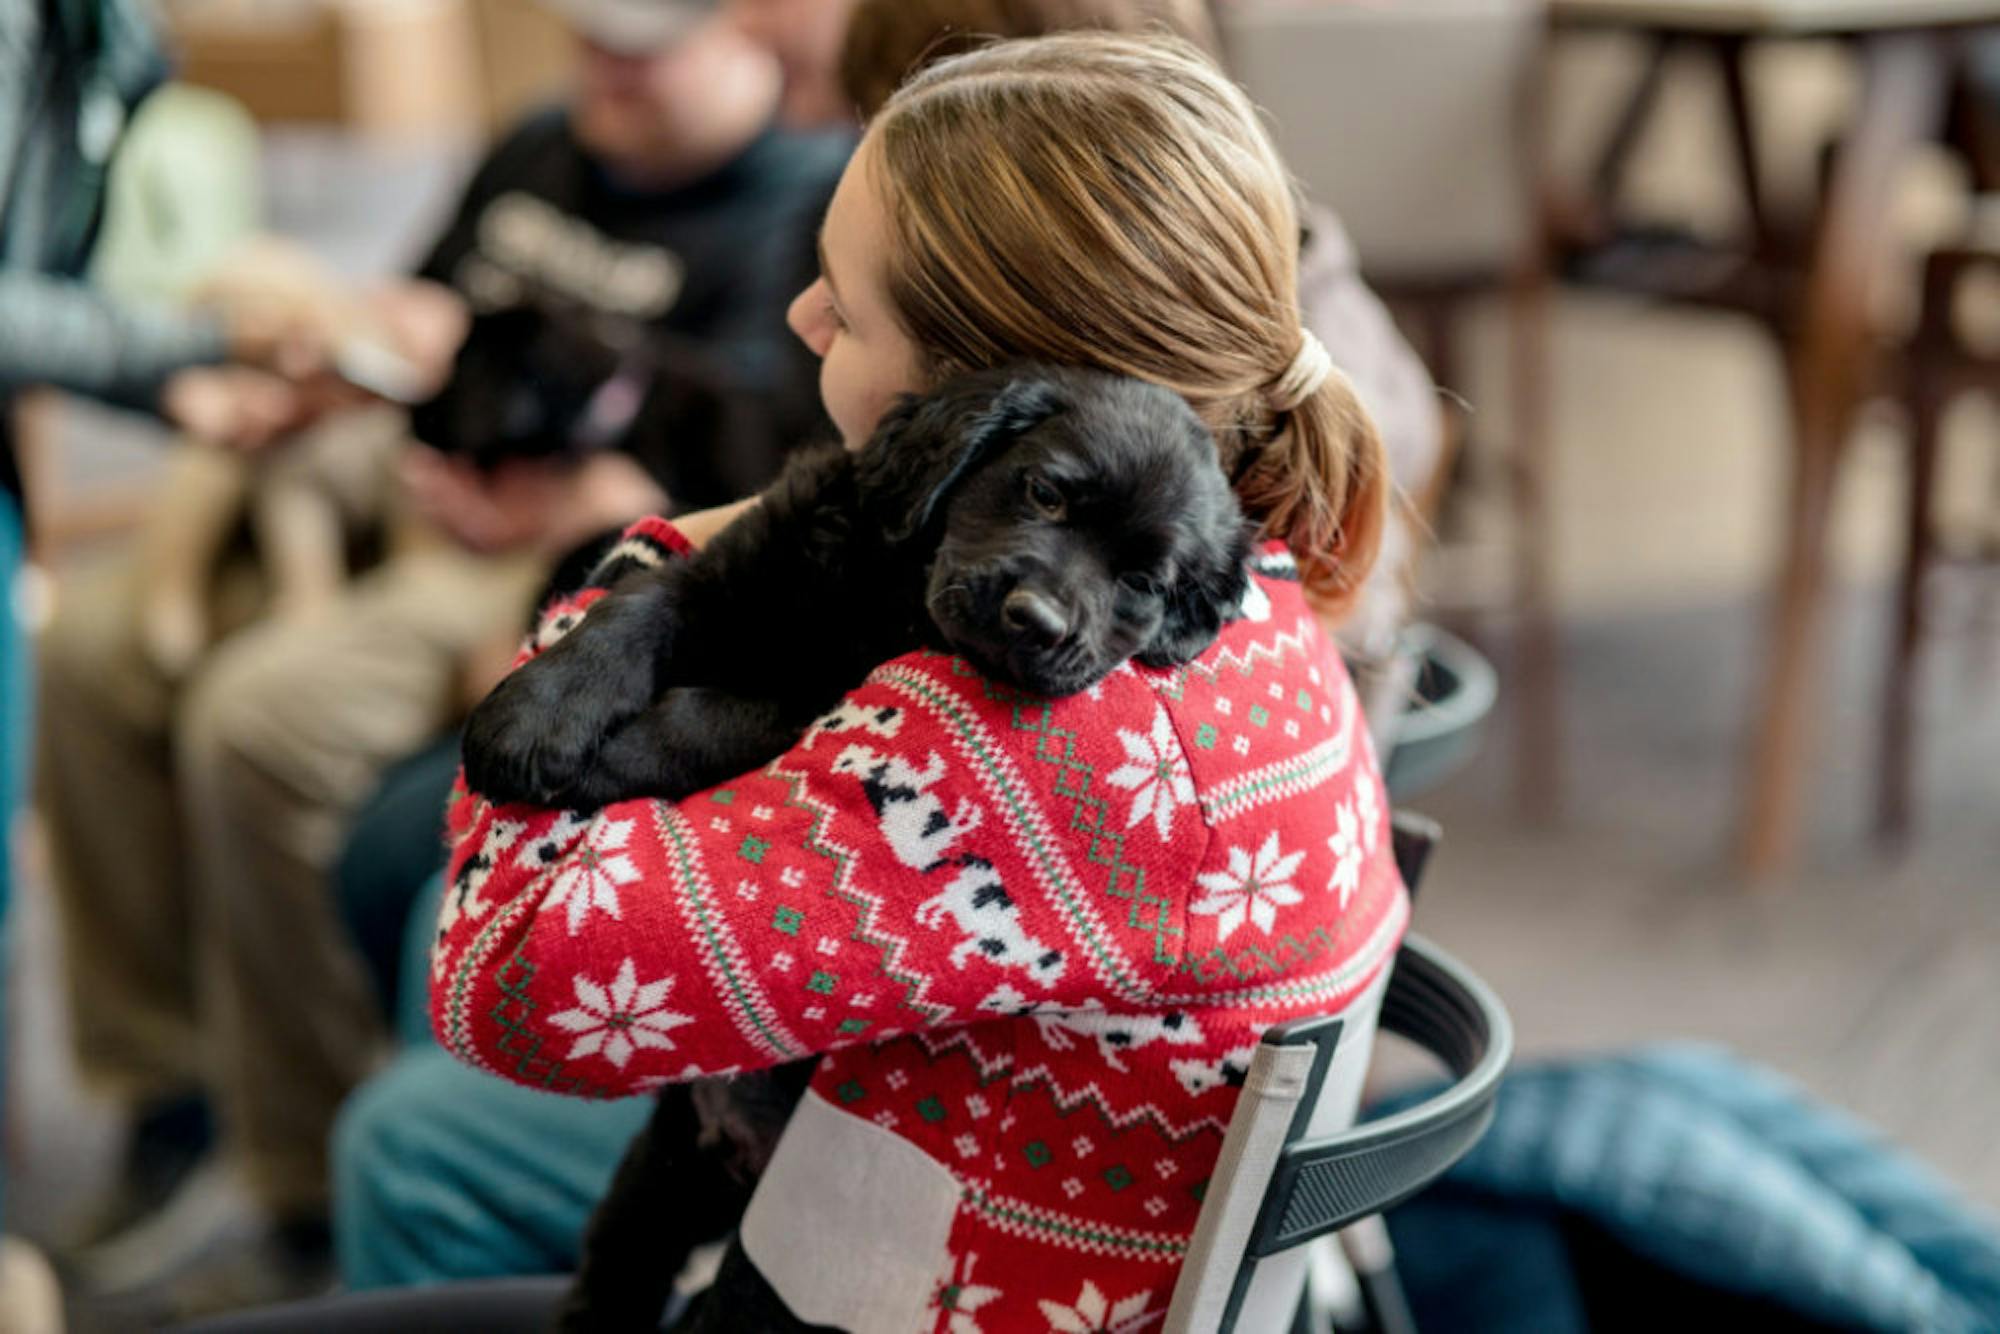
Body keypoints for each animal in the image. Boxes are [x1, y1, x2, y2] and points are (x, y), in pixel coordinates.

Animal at [462, 360, 1256, 1328]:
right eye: (1045, 492)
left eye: (1144, 579)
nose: (1036, 621)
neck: (890, 584)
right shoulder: (740, 567)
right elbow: (635, 607)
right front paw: (532, 717)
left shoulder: (815, 698)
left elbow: (715, 715)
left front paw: (607, 759)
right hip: (662, 1175)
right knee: (614, 1272)